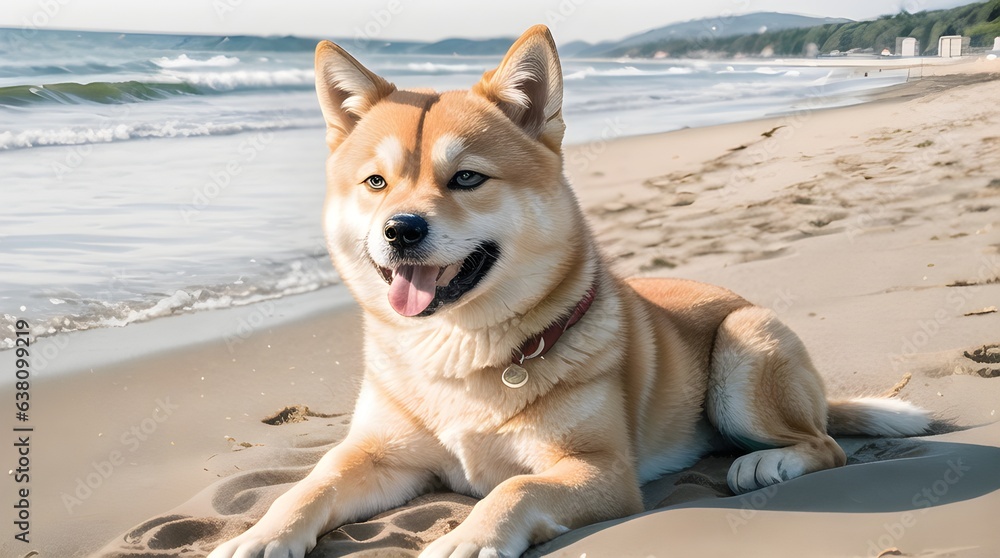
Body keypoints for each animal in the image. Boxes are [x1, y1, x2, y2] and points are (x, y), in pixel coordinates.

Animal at [207, 24, 932, 556]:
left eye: (466, 178)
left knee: (823, 443)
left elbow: (515, 491)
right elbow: (306, 488)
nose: (401, 230)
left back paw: (769, 465)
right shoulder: (381, 457)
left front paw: (468, 539)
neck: (457, 349)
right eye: (376, 183)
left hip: (743, 347)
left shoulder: (597, 468)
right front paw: (261, 534)